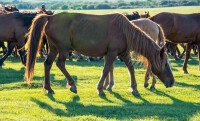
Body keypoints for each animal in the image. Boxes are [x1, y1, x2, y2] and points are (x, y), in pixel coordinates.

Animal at [24, 11, 175, 96]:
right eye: (165, 65)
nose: (172, 82)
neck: (124, 30)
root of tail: (50, 17)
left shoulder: (123, 53)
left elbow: (130, 68)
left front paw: (134, 88)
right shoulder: (112, 53)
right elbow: (106, 69)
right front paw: (101, 89)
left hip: (54, 48)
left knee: (48, 64)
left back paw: (48, 88)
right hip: (63, 49)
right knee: (60, 64)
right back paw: (72, 85)